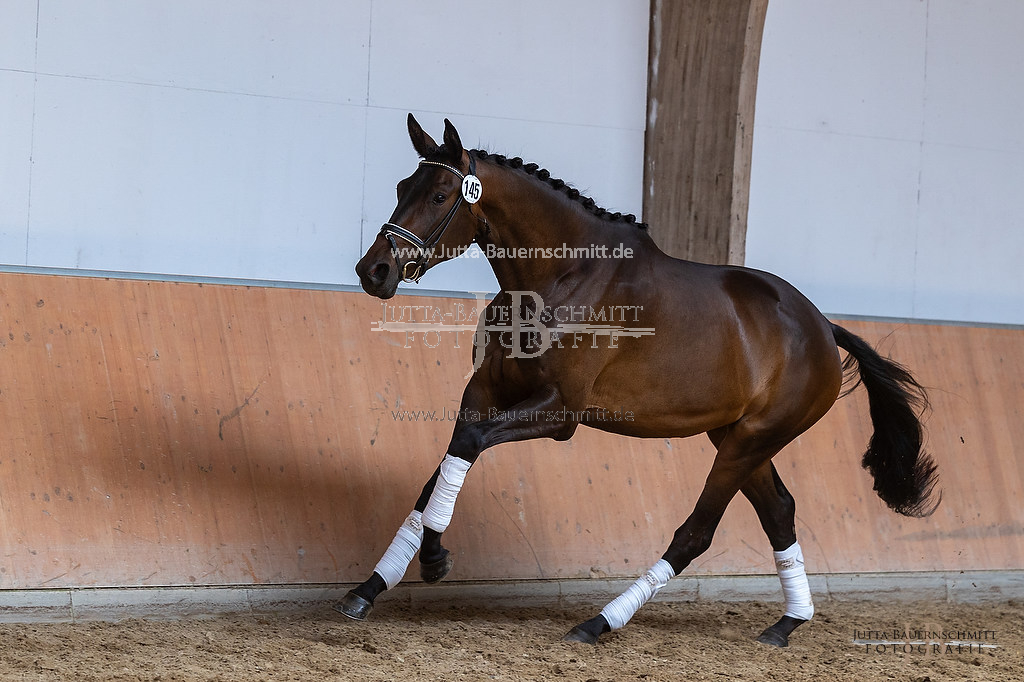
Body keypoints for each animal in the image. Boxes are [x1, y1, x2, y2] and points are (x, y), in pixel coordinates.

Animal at [339, 114, 937, 647]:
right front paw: (370, 588)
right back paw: (787, 625)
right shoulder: (484, 393)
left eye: (441, 196)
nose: (373, 271)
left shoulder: (559, 412)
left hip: (751, 440)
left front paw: (435, 558)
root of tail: (821, 326)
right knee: (780, 513)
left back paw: (599, 623)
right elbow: (443, 468)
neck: (562, 275)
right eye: (403, 187)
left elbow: (464, 448)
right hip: (737, 437)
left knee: (696, 533)